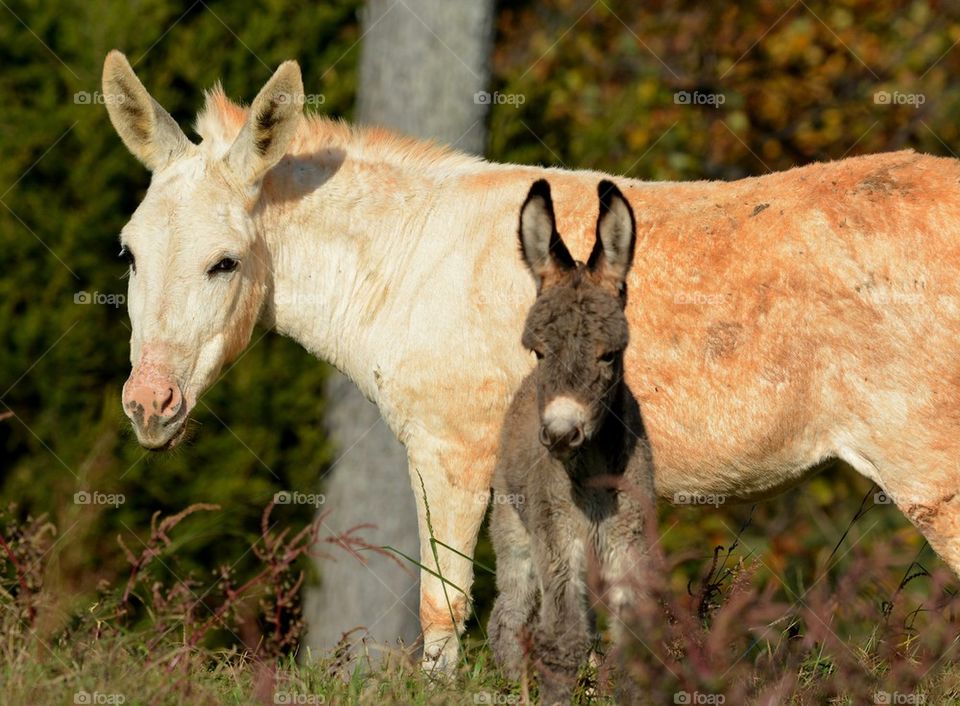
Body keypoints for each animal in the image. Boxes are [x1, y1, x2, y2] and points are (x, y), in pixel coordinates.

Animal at [492, 179, 656, 700]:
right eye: (538, 351)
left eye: (610, 355)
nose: (561, 433)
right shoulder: (556, 536)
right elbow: (562, 638)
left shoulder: (629, 540)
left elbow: (632, 637)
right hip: (513, 527)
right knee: (510, 615)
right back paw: (509, 687)